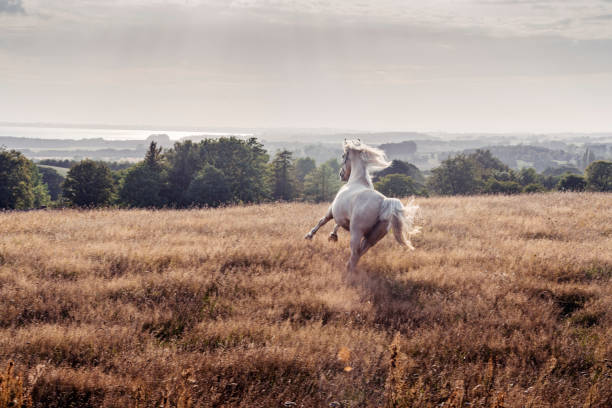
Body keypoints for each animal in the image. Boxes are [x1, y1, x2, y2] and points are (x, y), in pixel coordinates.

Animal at [304, 140, 418, 274]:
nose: (341, 175)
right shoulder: (343, 217)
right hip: (373, 238)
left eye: (343, 156)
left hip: (357, 233)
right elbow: (336, 224)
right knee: (360, 252)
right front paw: (332, 236)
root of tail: (384, 202)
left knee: (355, 253)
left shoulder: (332, 210)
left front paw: (310, 236)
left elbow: (322, 221)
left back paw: (347, 271)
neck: (356, 180)